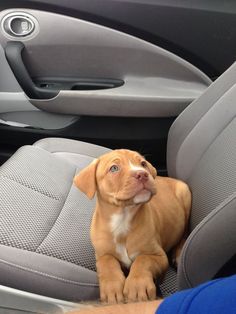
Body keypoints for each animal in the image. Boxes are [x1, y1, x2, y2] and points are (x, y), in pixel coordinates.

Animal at [74, 150, 191, 304]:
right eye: (114, 168)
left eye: (143, 164)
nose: (143, 174)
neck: (122, 219)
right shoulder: (101, 254)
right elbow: (107, 262)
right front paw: (112, 287)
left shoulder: (159, 256)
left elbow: (143, 260)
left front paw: (137, 285)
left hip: (185, 195)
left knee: (184, 233)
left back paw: (178, 253)